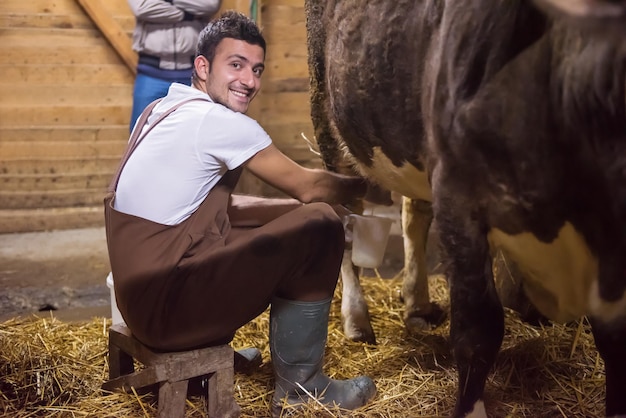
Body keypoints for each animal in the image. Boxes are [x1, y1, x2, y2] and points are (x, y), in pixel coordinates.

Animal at [304, 0, 624, 418]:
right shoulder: (460, 197)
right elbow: (478, 329)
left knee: (413, 211)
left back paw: (418, 305)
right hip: (330, 118)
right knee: (344, 217)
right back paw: (357, 319)